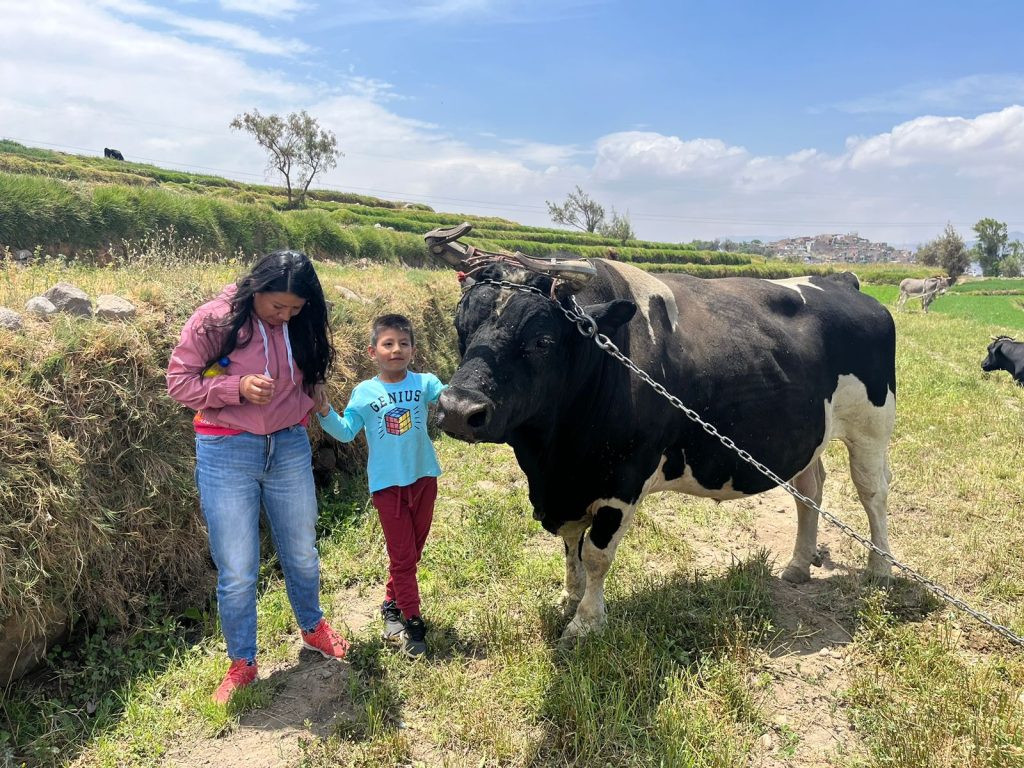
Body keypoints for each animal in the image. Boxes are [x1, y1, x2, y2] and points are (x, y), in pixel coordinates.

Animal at [425, 224, 897, 643]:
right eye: (460, 323)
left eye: (542, 340)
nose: (458, 410)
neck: (551, 459)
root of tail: (842, 281)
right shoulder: (568, 485)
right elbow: (571, 544)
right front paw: (569, 598)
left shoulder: (622, 479)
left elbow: (596, 554)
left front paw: (586, 623)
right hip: (807, 436)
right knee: (810, 489)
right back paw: (798, 565)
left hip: (871, 429)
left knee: (872, 494)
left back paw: (880, 569)